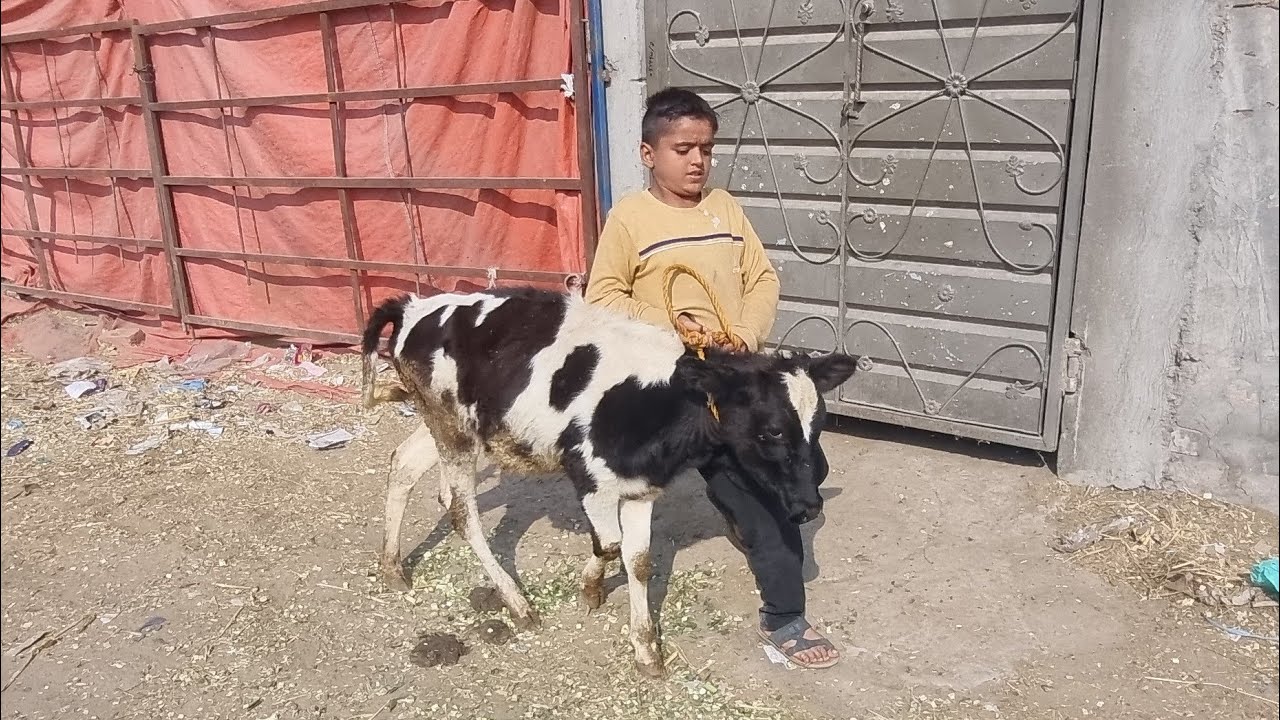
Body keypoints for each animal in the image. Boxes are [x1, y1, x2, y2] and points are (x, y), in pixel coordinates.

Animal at [360, 287, 858, 676]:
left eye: (819, 424)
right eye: (772, 431)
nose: (808, 506)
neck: (660, 400)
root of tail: (414, 306)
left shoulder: (640, 488)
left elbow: (637, 560)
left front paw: (646, 649)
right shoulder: (590, 475)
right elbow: (610, 545)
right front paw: (591, 589)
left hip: (451, 424)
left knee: (404, 465)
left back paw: (392, 566)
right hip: (452, 429)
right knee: (462, 511)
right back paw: (517, 603)